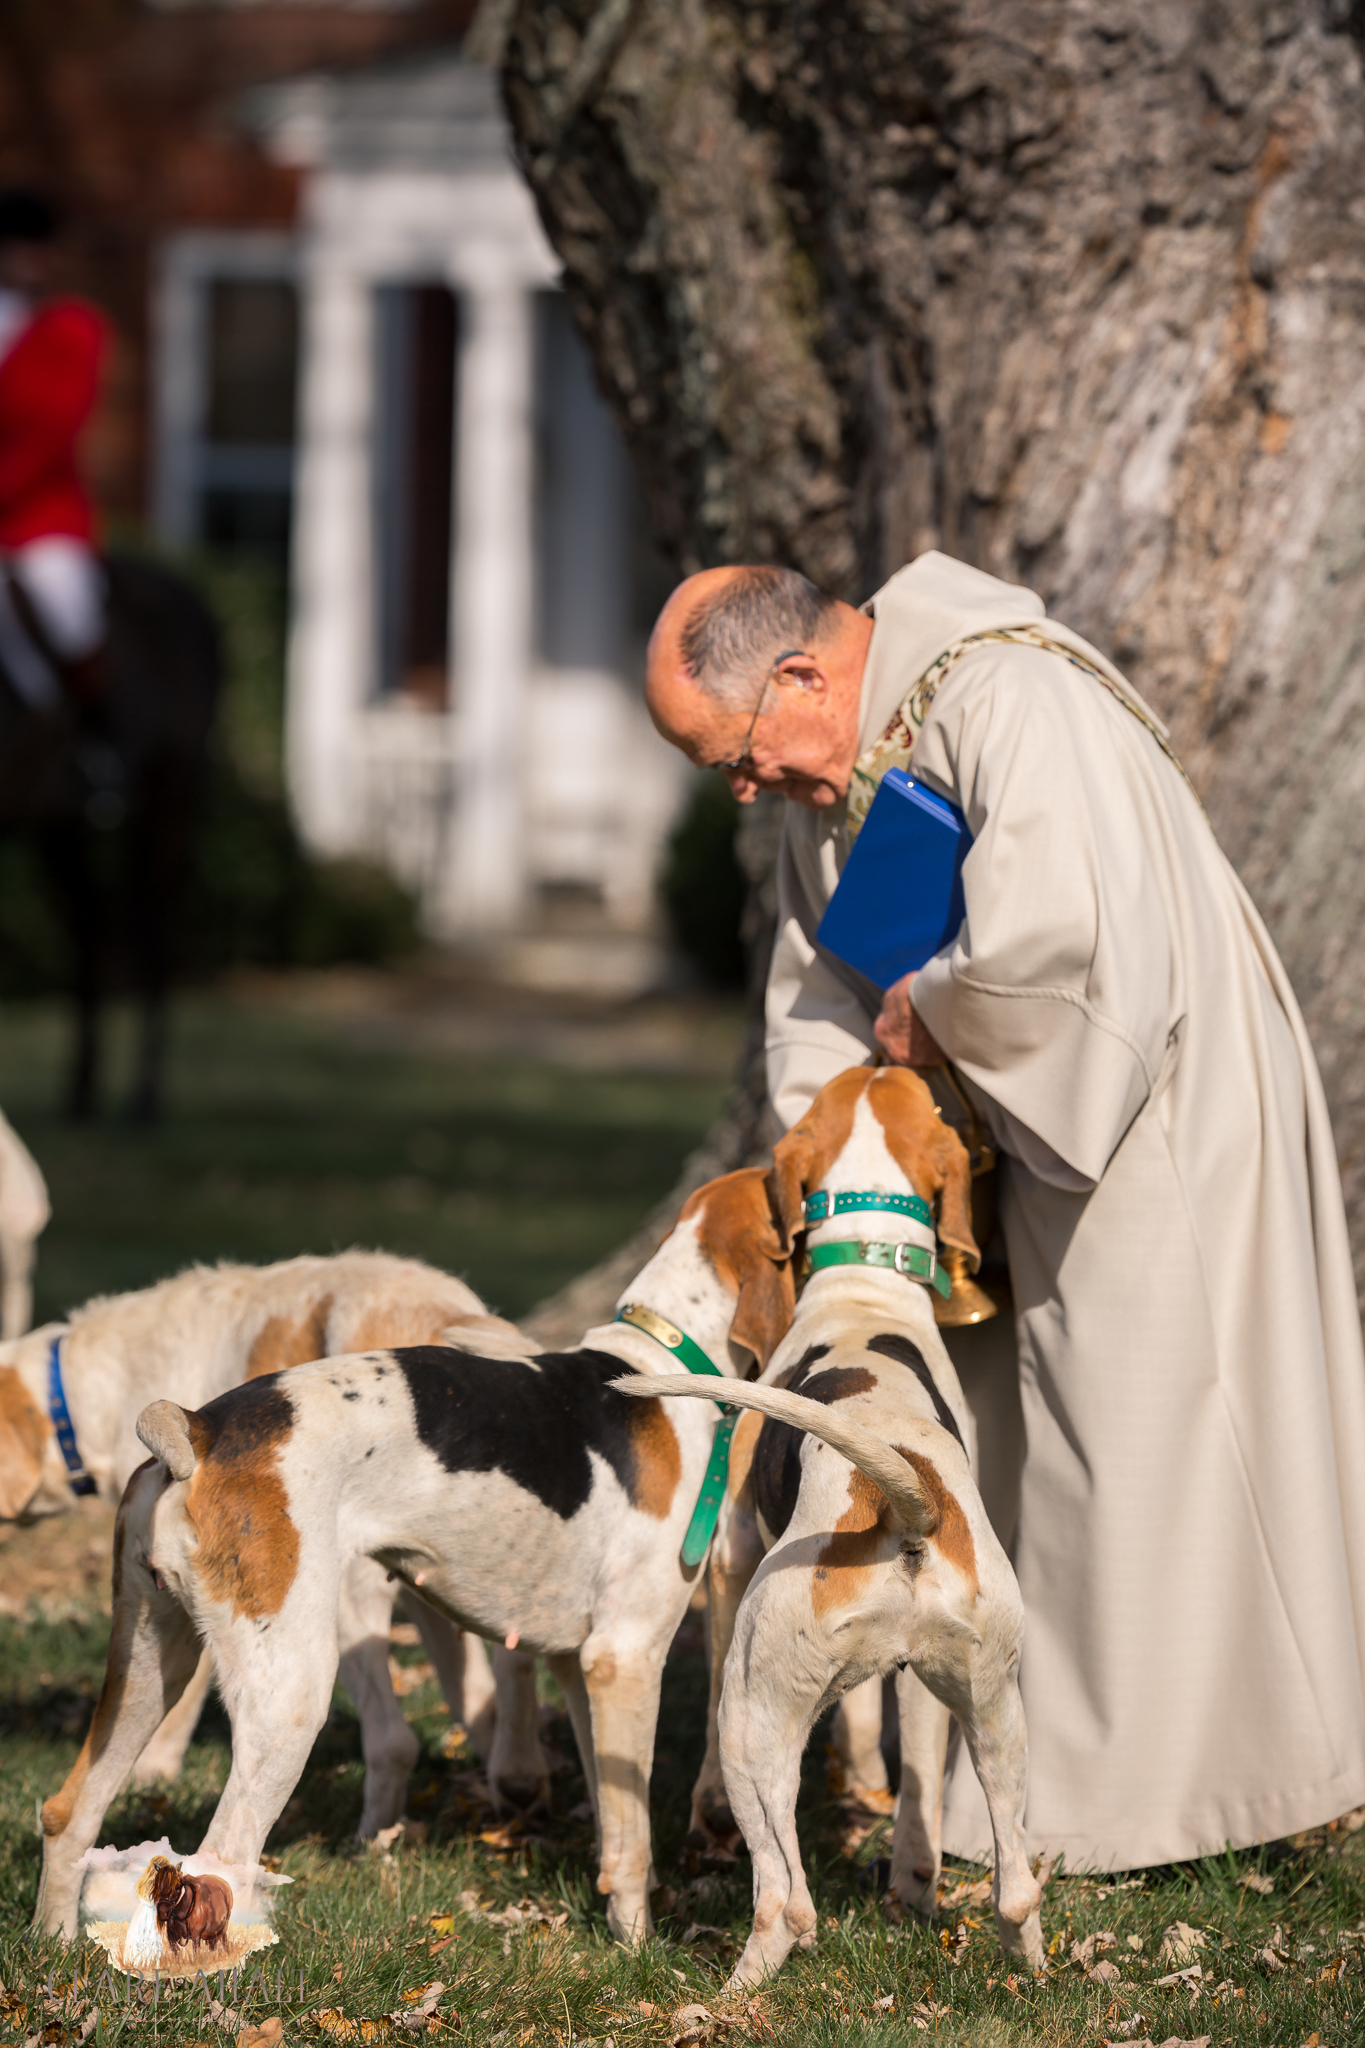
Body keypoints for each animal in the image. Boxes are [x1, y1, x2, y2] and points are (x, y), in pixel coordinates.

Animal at [0, 557, 222, 1122]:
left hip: (171, 794)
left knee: (155, 931)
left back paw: (145, 1098)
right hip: (58, 825)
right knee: (90, 929)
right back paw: (82, 1091)